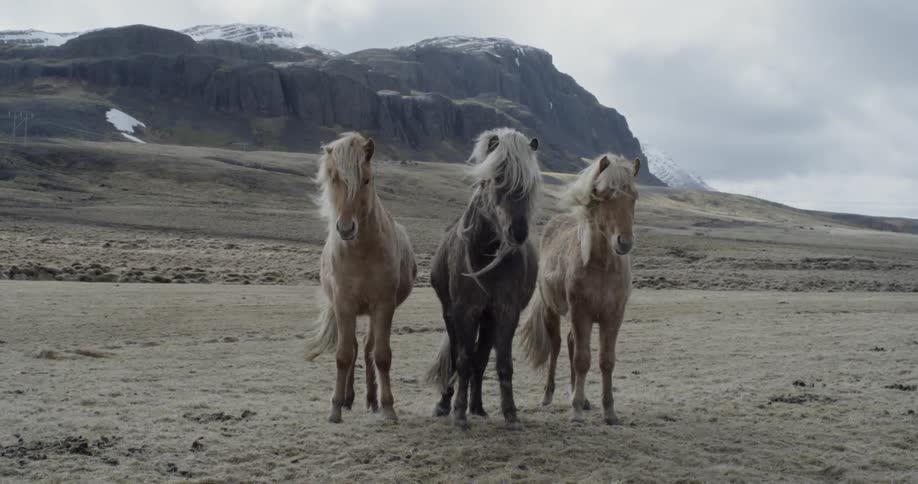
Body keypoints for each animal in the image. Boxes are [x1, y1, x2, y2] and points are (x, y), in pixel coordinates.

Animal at [304, 132, 417, 423]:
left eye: (366, 179)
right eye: (334, 178)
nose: (345, 229)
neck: (362, 253)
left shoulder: (383, 306)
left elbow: (381, 355)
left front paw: (387, 407)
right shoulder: (344, 305)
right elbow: (344, 355)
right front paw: (335, 407)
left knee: (367, 350)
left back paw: (371, 399)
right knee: (355, 348)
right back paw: (348, 398)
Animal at [426, 127, 542, 430]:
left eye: (530, 182)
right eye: (498, 178)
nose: (518, 232)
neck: (486, 254)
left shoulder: (505, 311)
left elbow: (501, 363)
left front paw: (510, 414)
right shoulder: (464, 311)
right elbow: (462, 360)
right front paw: (458, 413)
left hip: (488, 319)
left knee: (481, 358)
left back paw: (477, 406)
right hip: (451, 313)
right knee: (457, 357)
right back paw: (445, 404)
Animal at [519, 154, 640, 425]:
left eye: (634, 196)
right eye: (601, 194)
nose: (624, 243)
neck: (601, 267)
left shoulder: (613, 316)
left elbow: (606, 361)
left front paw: (609, 411)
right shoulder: (580, 313)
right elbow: (582, 360)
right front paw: (575, 411)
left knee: (572, 342)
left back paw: (581, 397)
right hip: (552, 312)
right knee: (556, 347)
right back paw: (549, 396)